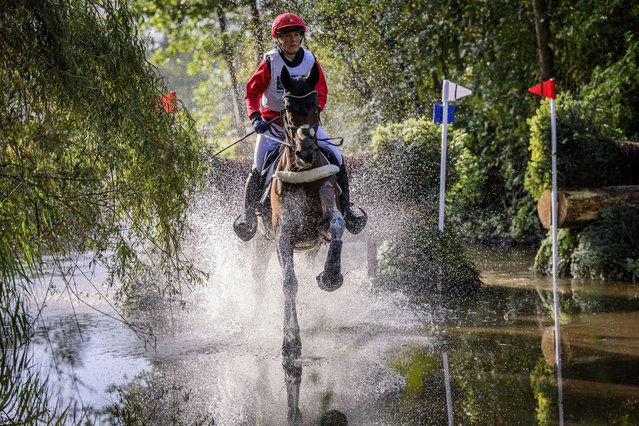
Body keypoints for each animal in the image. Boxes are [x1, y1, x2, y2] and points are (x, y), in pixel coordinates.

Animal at [270, 62, 348, 356]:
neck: (302, 173)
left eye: (315, 105)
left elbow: (337, 226)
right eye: (287, 107)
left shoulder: (324, 224)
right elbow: (289, 283)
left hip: (310, 248)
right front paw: (291, 340)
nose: (306, 153)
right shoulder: (283, 237)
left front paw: (331, 277)